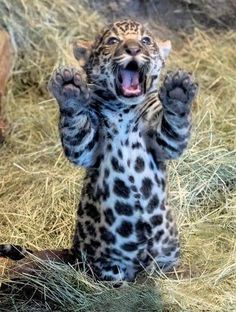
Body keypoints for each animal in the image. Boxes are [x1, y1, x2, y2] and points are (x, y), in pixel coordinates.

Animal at [0, 19, 198, 282]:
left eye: (146, 41)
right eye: (113, 41)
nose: (133, 48)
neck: (124, 110)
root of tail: (73, 252)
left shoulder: (162, 141)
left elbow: (173, 132)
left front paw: (178, 90)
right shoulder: (86, 146)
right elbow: (77, 131)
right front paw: (69, 88)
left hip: (167, 252)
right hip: (106, 265)